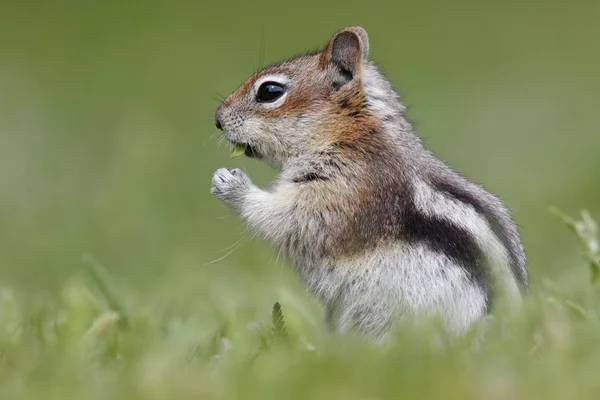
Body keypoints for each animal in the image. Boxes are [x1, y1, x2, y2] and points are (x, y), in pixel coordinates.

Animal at [210, 25, 524, 338]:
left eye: (269, 91)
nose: (217, 119)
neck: (352, 135)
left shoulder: (348, 190)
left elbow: (292, 221)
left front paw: (231, 184)